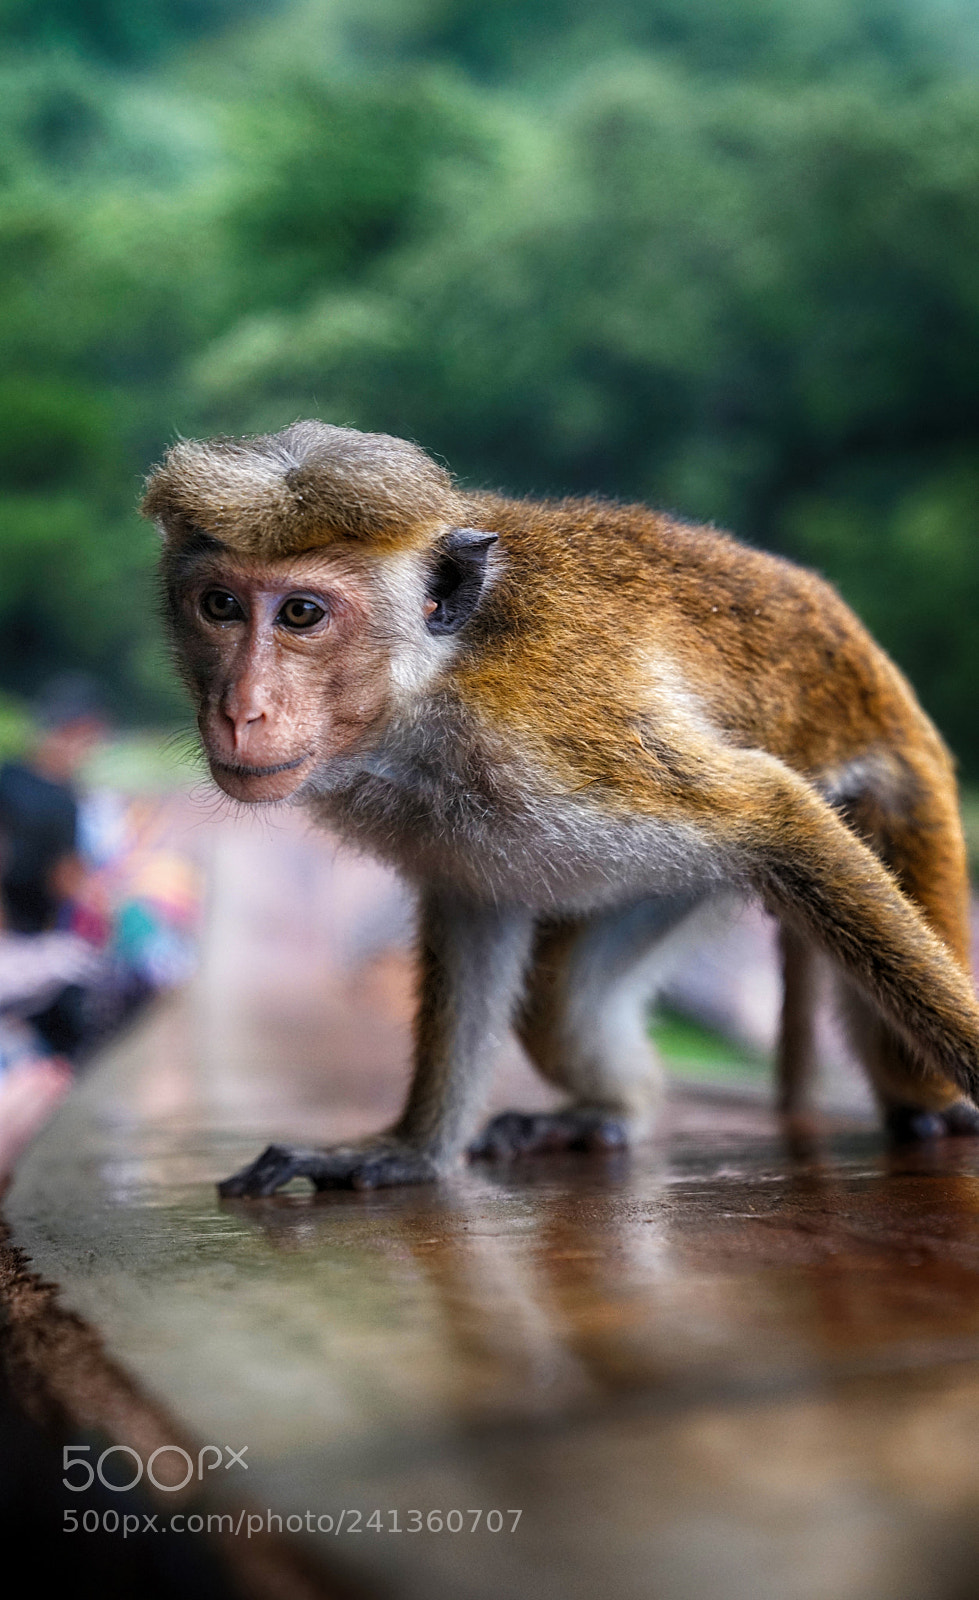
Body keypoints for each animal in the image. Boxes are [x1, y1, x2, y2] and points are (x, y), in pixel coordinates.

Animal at [141, 420, 979, 1196]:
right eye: (220, 605)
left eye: (300, 615)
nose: (239, 710)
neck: (426, 692)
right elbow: (477, 906)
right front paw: (411, 1150)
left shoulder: (556, 733)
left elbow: (770, 809)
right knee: (558, 1009)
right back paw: (607, 1115)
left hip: (899, 792)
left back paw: (932, 1104)